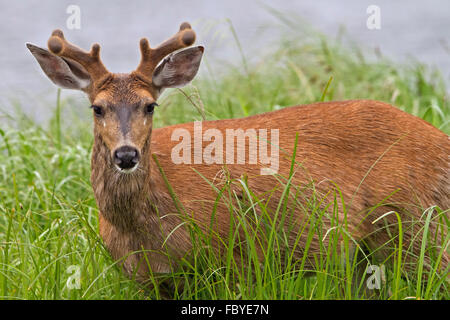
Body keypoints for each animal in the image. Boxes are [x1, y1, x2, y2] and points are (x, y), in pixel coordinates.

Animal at [27, 21, 446, 292]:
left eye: (150, 105)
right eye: (97, 107)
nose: (126, 154)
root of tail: (442, 140)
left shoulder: (232, 263)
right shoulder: (145, 281)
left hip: (418, 225)